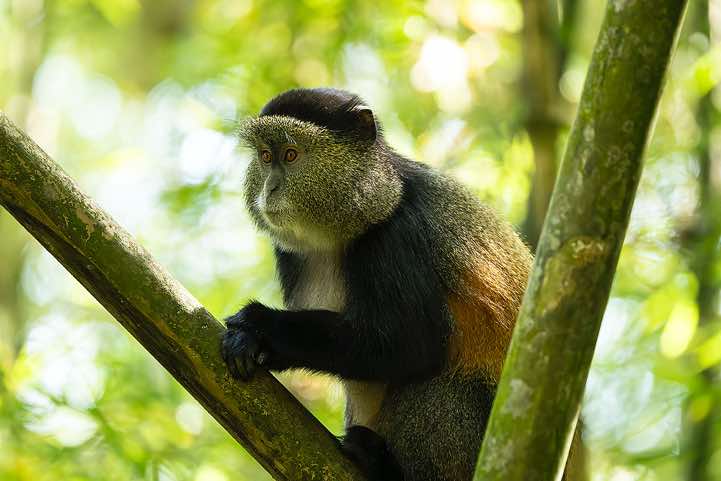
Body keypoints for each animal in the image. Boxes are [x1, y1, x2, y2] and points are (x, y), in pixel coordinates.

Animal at [221, 88, 573, 481]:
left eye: (291, 154)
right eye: (265, 157)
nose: (270, 189)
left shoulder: (398, 236)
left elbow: (410, 345)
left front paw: (260, 326)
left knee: (441, 387)